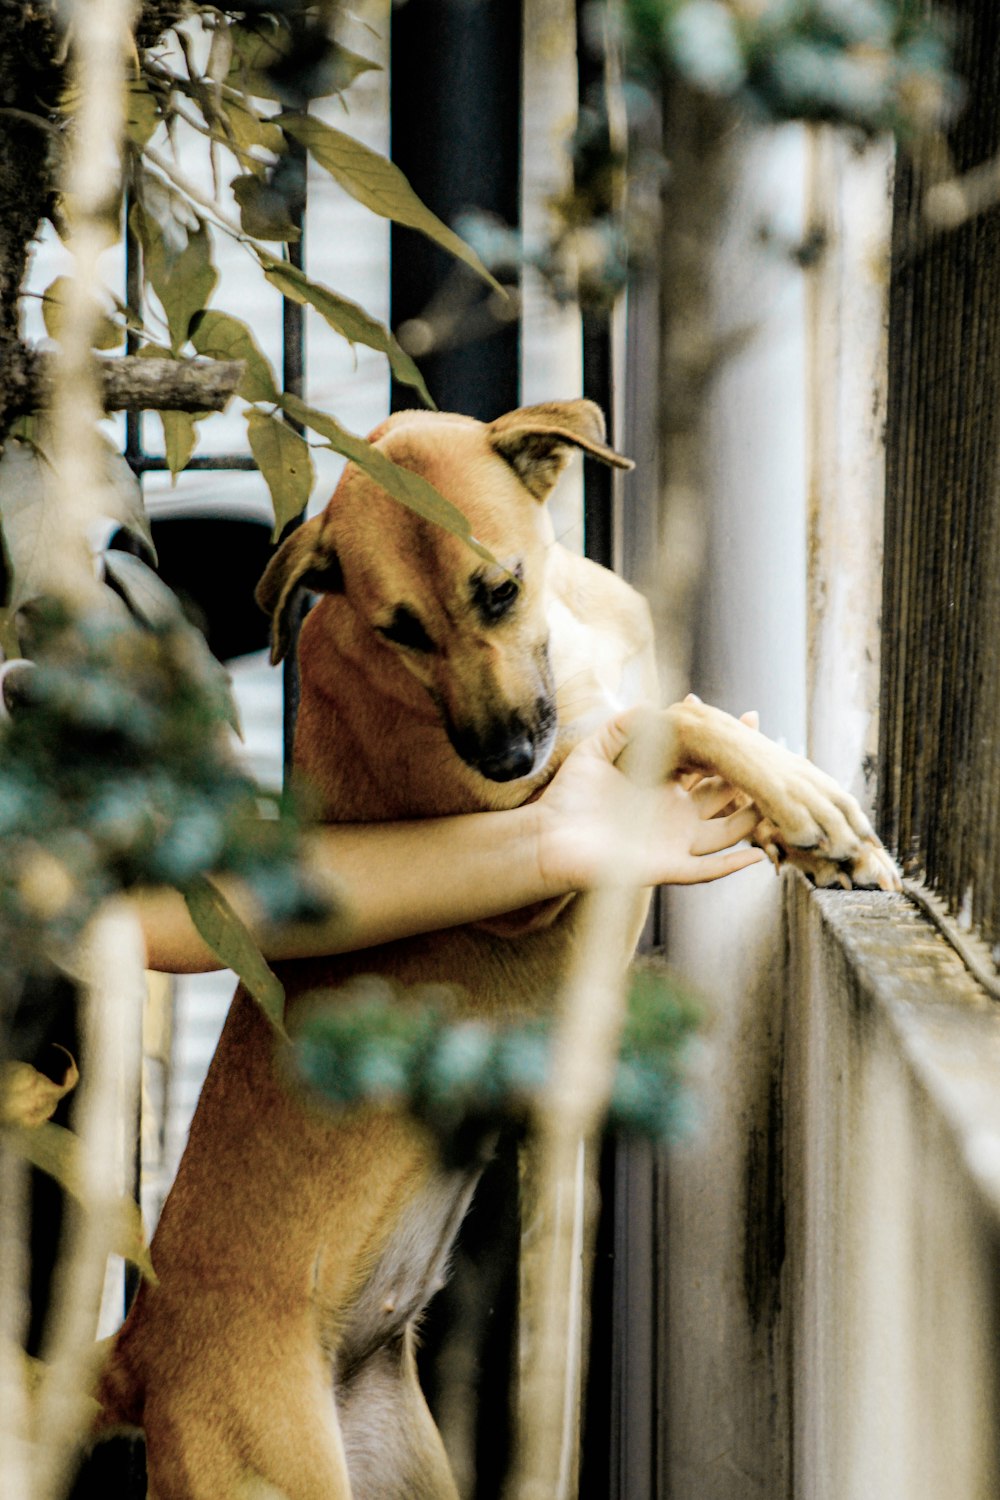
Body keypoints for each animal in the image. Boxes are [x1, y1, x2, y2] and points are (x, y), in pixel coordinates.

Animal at [97, 402, 899, 1500]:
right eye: (398, 630)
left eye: (500, 591)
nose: (506, 760)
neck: (565, 636)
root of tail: (140, 1349)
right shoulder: (552, 826)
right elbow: (670, 719)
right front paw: (805, 800)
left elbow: (660, 711)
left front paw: (803, 828)